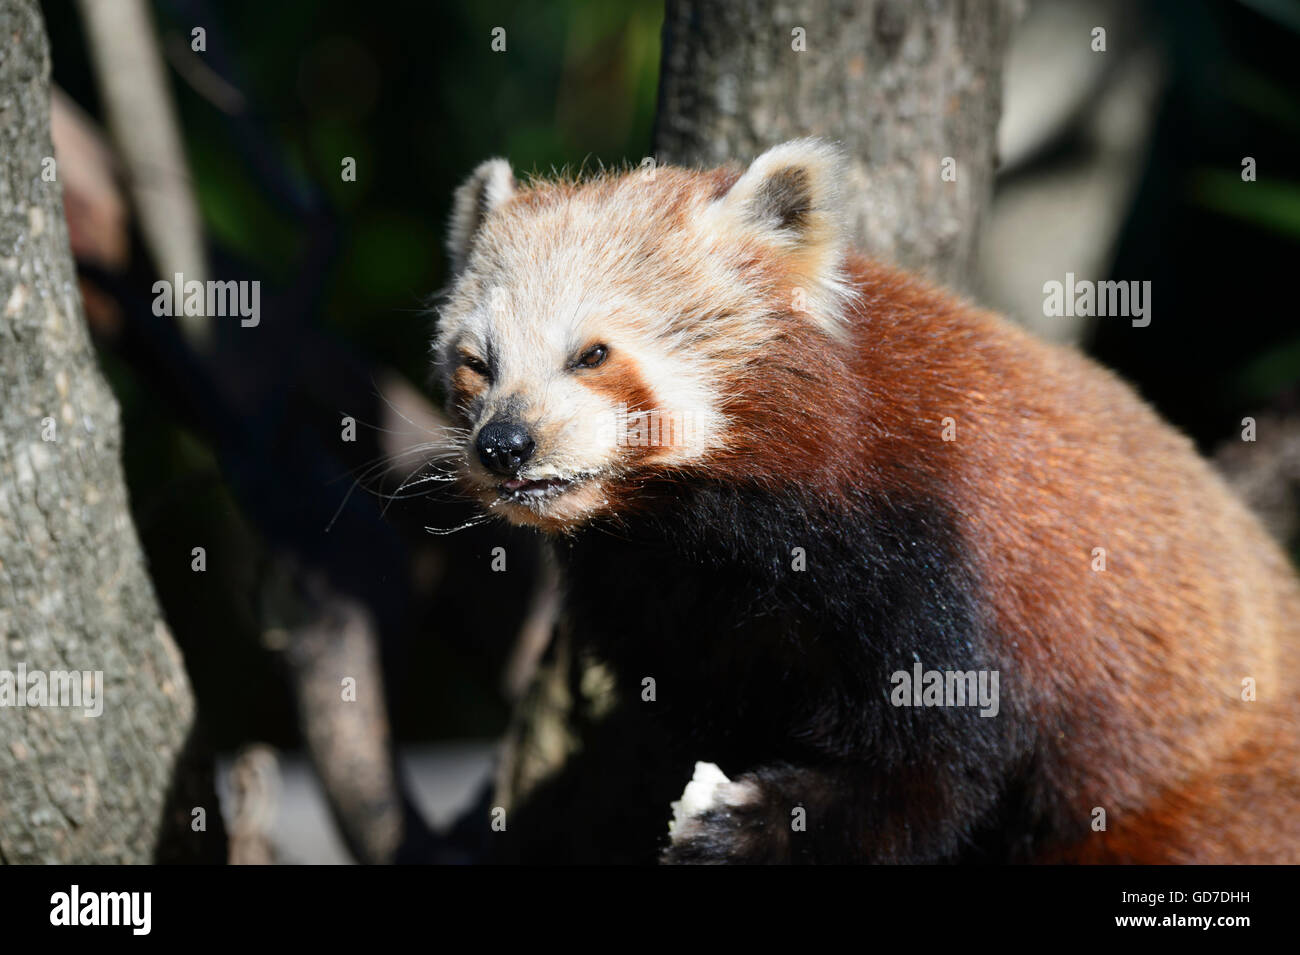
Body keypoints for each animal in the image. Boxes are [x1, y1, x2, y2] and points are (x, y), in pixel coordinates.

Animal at [434, 138, 1300, 862]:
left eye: (592, 354)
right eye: (478, 363)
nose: (504, 444)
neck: (696, 532)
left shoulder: (930, 553)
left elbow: (928, 776)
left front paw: (751, 823)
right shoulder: (669, 609)